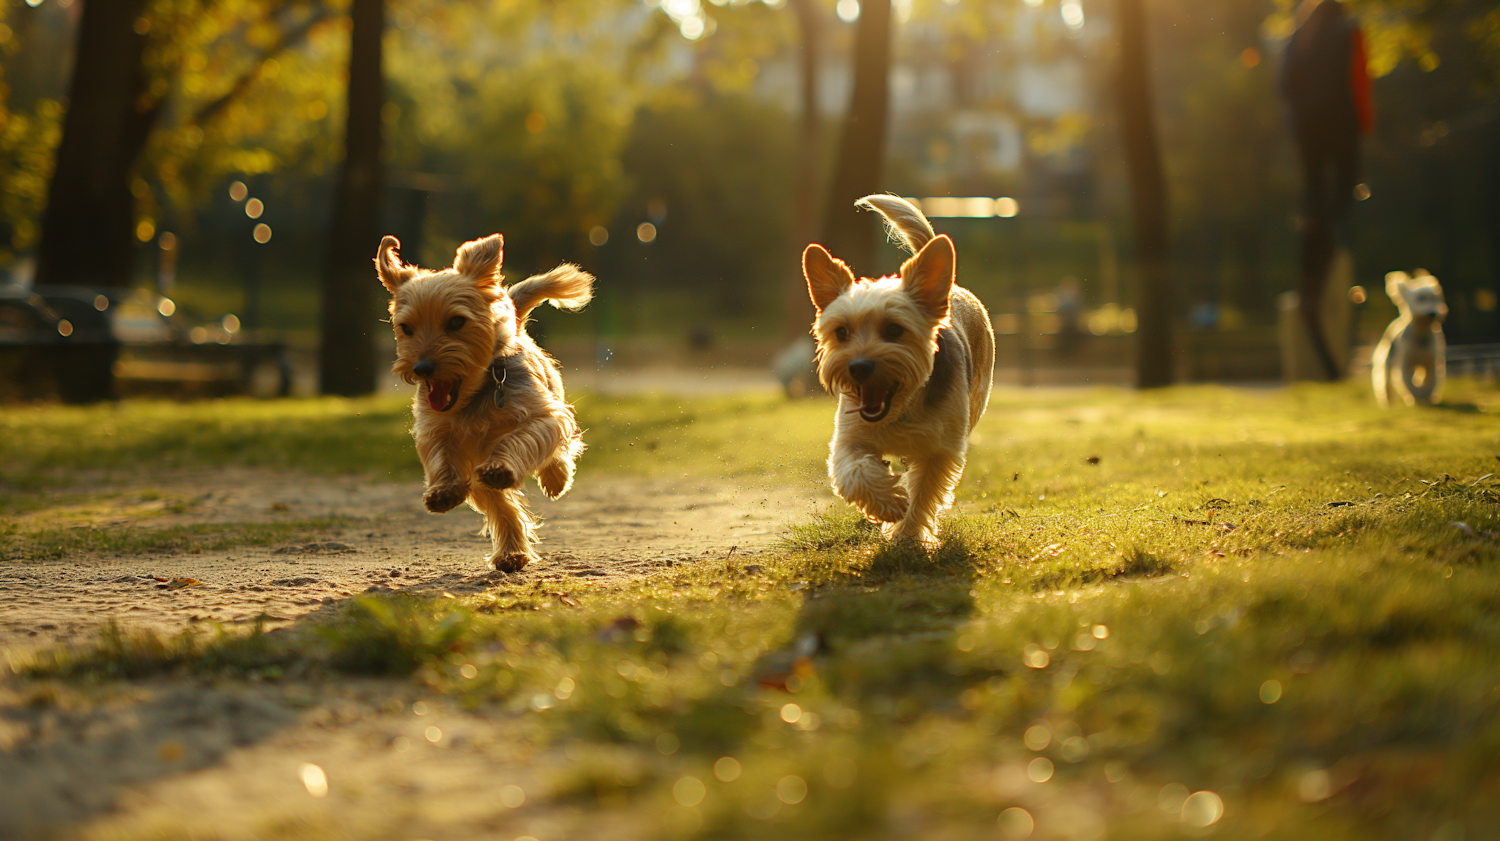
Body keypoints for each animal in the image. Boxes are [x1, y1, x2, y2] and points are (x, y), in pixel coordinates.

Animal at [378, 232, 594, 566]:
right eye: (406, 328)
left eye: (456, 322)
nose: (422, 368)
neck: (475, 394)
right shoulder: (438, 431)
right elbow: (443, 458)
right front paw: (444, 491)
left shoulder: (541, 414)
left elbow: (523, 438)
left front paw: (501, 468)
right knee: (501, 506)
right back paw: (511, 553)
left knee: (558, 451)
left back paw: (555, 479)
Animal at [804, 194, 1002, 548]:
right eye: (841, 332)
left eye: (894, 330)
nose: (858, 367)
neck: (901, 408)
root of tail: (951, 287)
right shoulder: (849, 437)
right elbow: (855, 471)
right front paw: (888, 503)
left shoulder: (941, 450)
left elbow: (922, 492)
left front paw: (906, 534)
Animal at [1374, 268, 1446, 407]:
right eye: (1420, 298)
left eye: (1434, 299)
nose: (1433, 313)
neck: (1421, 336)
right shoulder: (1405, 363)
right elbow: (1408, 383)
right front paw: (1415, 397)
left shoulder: (1431, 363)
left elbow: (1430, 381)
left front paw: (1427, 396)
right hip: (1386, 359)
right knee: (1385, 381)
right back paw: (1388, 401)